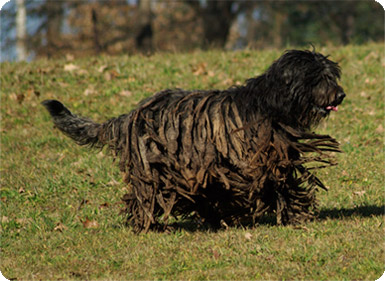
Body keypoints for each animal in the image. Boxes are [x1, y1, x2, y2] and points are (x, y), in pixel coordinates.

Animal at [42, 49, 344, 232]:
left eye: (332, 76)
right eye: (318, 78)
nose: (340, 95)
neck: (268, 104)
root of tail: (129, 117)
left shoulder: (272, 160)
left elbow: (283, 185)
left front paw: (294, 212)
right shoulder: (249, 164)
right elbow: (266, 186)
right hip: (155, 170)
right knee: (145, 197)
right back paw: (148, 224)